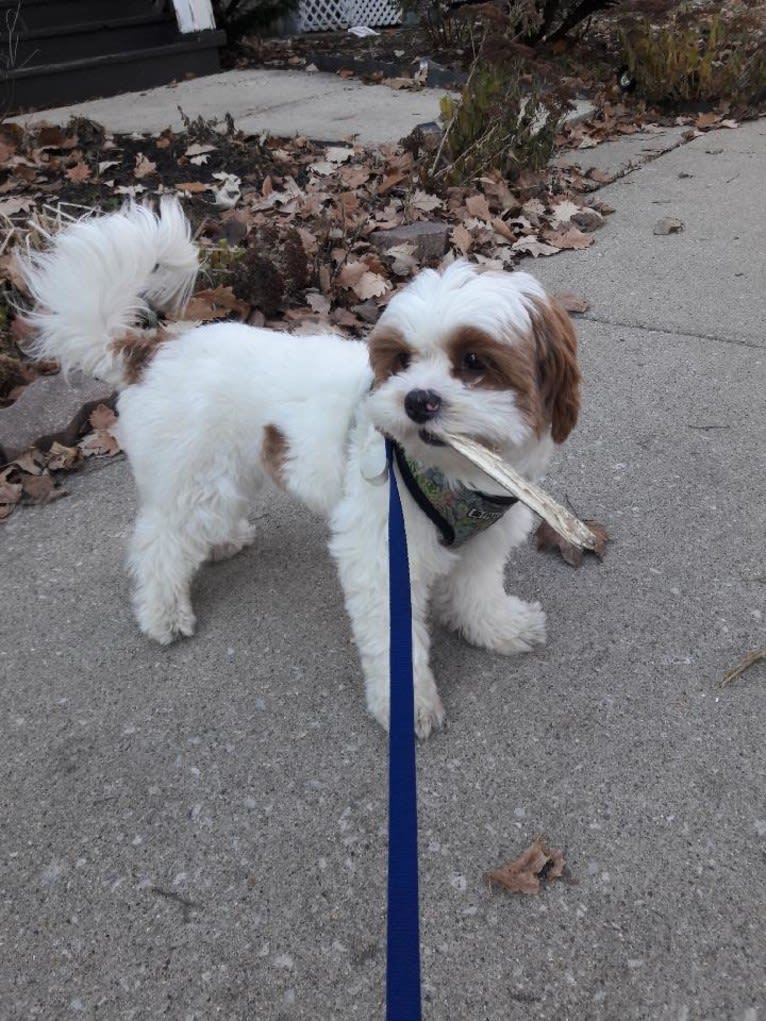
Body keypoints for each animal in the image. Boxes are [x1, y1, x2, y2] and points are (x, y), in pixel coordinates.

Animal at [19, 199, 580, 739]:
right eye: (401, 361)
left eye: (474, 361)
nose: (418, 400)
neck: (453, 473)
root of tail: (152, 349)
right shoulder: (381, 549)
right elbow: (392, 637)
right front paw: (408, 704)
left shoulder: (487, 535)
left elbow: (477, 588)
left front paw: (496, 627)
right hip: (193, 476)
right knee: (160, 542)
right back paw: (163, 612)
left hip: (226, 473)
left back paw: (220, 544)